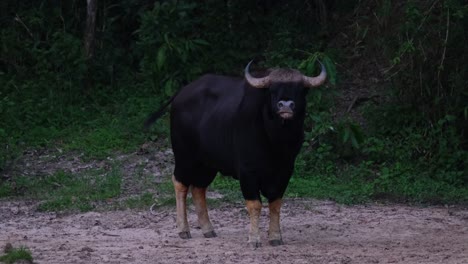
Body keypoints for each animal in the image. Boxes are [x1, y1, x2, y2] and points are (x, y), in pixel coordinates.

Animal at [145, 60, 326, 246]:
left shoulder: (285, 171)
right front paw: (254, 238)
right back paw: (183, 229)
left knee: (198, 188)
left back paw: (208, 228)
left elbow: (276, 203)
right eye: (272, 89)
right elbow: (255, 204)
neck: (275, 141)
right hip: (184, 156)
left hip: (207, 163)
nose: (286, 105)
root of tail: (182, 93)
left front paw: (275, 237)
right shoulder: (247, 171)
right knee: (180, 183)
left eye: (300, 89)